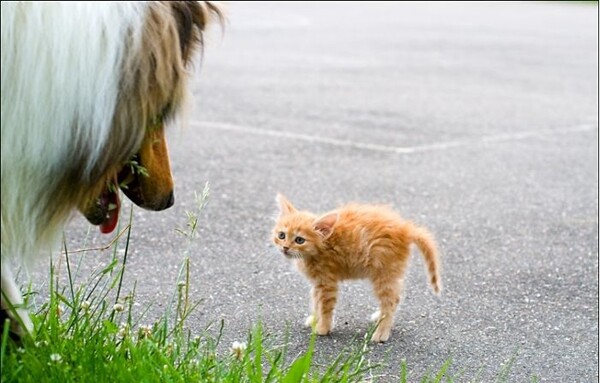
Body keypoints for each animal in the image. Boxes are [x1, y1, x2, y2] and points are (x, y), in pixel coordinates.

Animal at [274, 194, 440, 344]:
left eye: (299, 240)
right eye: (282, 235)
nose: (285, 248)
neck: (320, 248)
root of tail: (405, 229)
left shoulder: (327, 283)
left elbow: (325, 306)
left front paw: (323, 328)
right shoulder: (318, 283)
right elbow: (316, 302)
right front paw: (315, 320)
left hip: (383, 273)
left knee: (391, 300)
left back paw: (381, 333)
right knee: (396, 297)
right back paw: (380, 317)